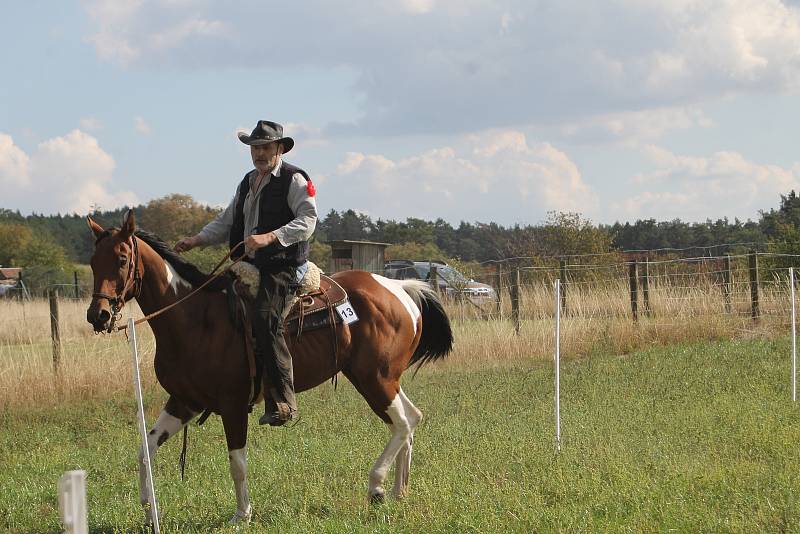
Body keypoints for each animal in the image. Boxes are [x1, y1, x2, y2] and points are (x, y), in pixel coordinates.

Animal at [86, 210, 456, 528]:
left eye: (122, 259)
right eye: (92, 261)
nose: (98, 315)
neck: (195, 318)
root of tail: (400, 289)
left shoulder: (233, 406)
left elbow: (237, 463)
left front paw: (242, 515)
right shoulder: (183, 401)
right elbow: (145, 451)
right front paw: (150, 513)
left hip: (374, 379)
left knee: (403, 423)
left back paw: (376, 487)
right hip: (383, 379)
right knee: (410, 419)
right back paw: (398, 491)